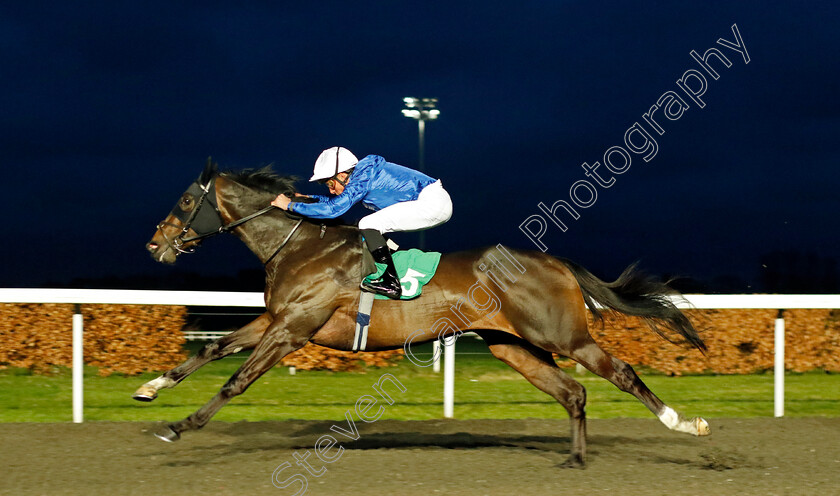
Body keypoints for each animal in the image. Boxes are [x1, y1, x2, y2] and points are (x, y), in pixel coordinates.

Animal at [136, 161, 708, 466]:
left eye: (185, 201)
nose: (154, 245)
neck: (299, 246)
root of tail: (557, 261)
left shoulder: (294, 328)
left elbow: (237, 380)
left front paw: (180, 426)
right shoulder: (276, 319)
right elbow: (213, 348)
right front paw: (152, 388)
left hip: (562, 336)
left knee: (622, 373)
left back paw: (685, 423)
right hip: (513, 346)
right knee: (574, 392)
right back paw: (575, 457)